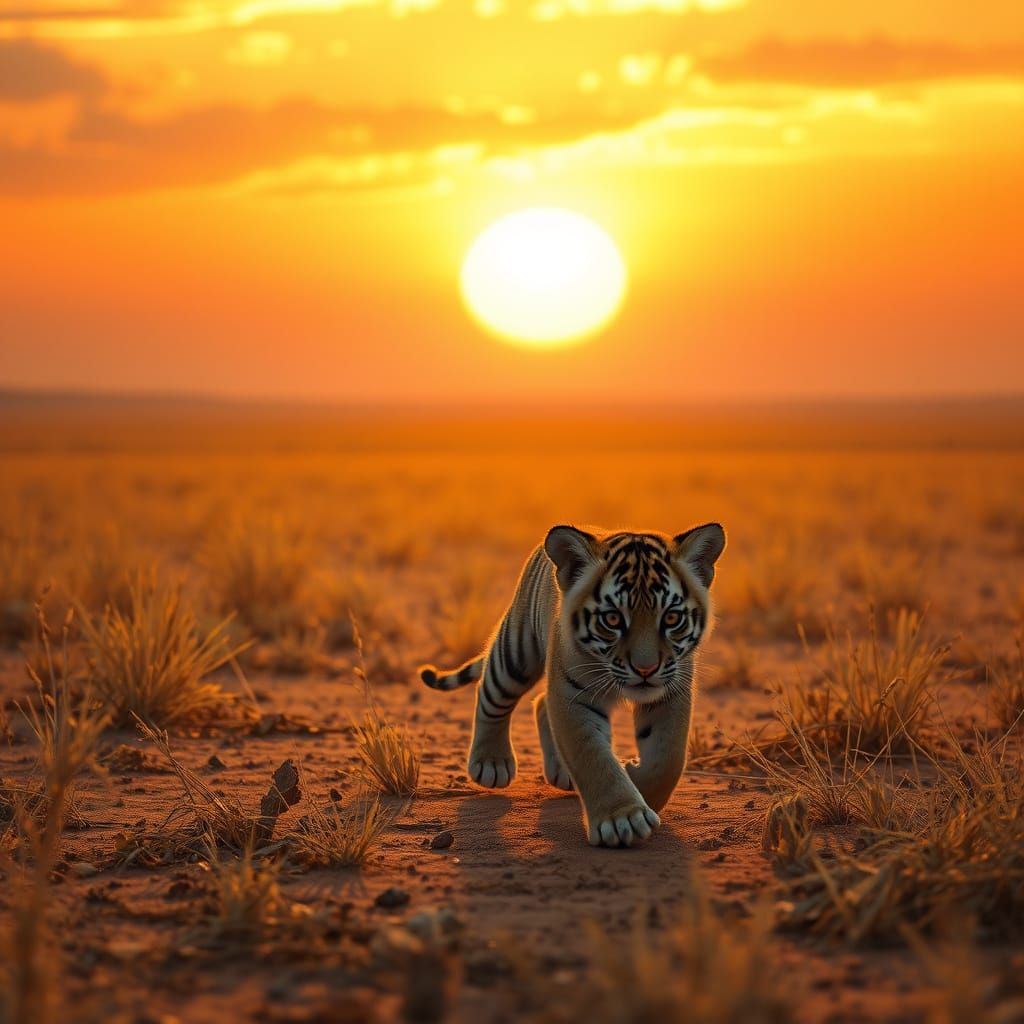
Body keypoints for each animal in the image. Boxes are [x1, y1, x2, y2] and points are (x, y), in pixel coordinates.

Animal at [419, 523, 725, 848]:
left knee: (541, 702)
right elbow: (592, 756)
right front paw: (623, 820)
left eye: (671, 618)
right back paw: (491, 763)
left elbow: (667, 758)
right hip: (516, 652)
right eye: (612, 619)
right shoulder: (572, 696)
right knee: (493, 694)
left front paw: (637, 780)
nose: (646, 669)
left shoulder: (671, 691)